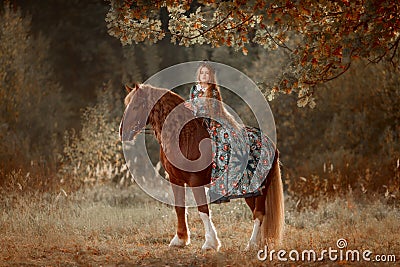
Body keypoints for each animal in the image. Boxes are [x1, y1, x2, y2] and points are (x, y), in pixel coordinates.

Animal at [119, 85, 284, 252]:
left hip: (259, 188)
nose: (122, 132)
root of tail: (271, 145)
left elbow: (203, 210)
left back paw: (251, 244)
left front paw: (210, 243)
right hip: (249, 192)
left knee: (259, 213)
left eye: (136, 106)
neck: (184, 137)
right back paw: (258, 244)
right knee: (257, 213)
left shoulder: (195, 180)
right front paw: (180, 239)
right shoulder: (175, 179)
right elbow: (180, 208)